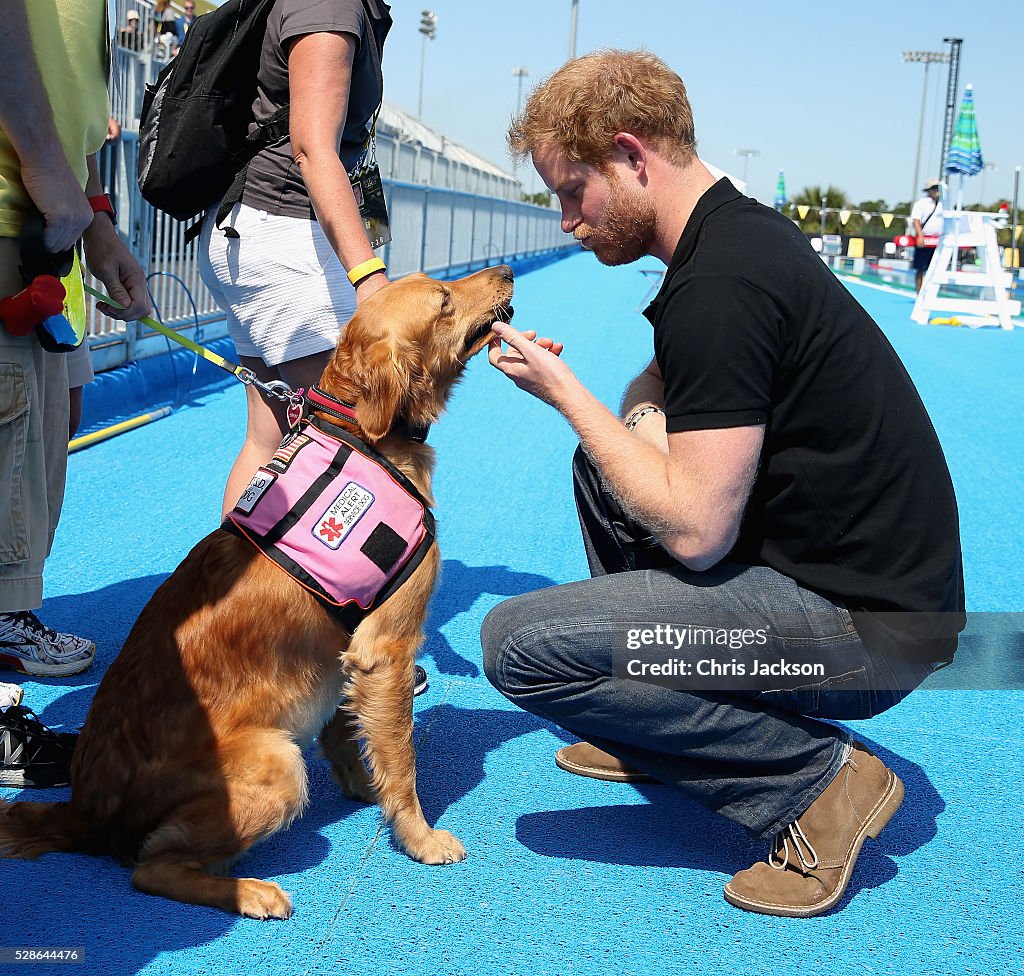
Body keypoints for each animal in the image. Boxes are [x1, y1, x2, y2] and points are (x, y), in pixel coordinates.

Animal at [0, 264, 512, 913]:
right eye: (443, 300)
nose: (506, 271)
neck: (360, 431)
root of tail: (84, 808)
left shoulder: (344, 652)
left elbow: (348, 734)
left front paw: (363, 786)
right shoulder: (386, 649)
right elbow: (403, 762)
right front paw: (417, 835)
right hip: (277, 763)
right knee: (150, 868)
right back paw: (250, 891)